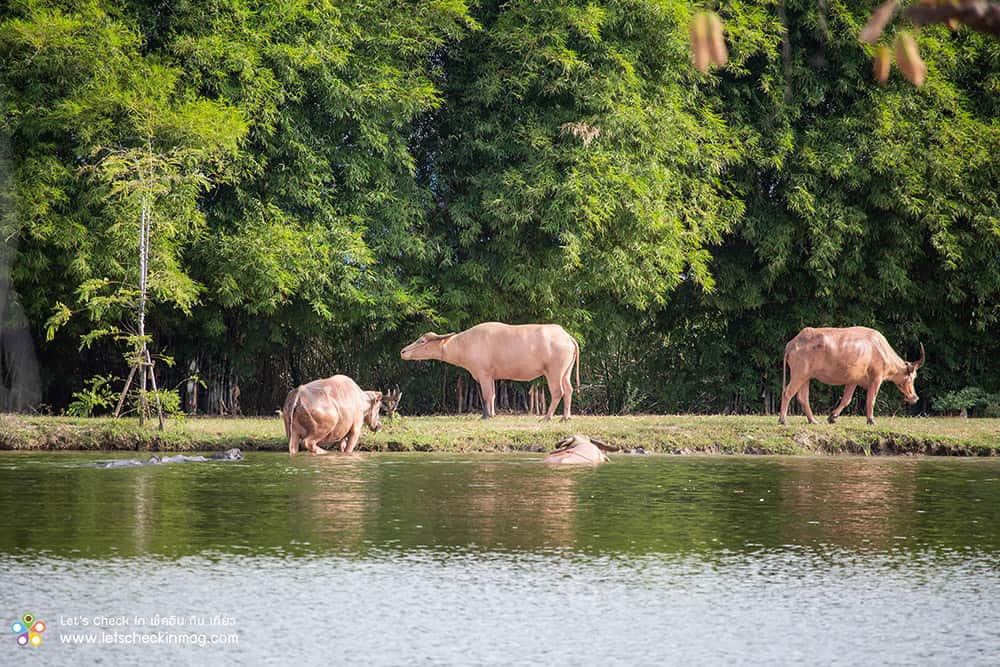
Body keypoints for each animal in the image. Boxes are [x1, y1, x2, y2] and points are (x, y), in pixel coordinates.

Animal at [402, 320, 584, 420]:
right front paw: (492, 414)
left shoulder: (483, 375)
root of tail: (566, 336)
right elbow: (494, 395)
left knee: (558, 392)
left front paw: (486, 416)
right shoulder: (491, 377)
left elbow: (486, 395)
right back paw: (565, 417)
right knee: (569, 390)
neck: (465, 344)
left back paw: (547, 417)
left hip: (554, 372)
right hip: (565, 372)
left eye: (422, 341)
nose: (403, 351)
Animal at [776, 326, 924, 426]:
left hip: (806, 377)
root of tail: (792, 343)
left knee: (803, 397)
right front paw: (871, 420)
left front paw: (832, 417)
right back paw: (783, 420)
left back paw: (812, 420)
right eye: (912, 377)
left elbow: (846, 399)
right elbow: (871, 399)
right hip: (799, 375)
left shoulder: (853, 381)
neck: (880, 349)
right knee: (787, 393)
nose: (915, 397)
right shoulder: (877, 378)